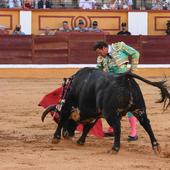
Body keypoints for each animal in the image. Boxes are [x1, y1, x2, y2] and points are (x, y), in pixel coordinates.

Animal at [41, 67, 170, 153]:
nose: (67, 135)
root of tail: (124, 78)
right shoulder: (94, 114)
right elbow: (88, 128)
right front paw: (80, 141)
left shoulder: (69, 106)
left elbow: (63, 118)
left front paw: (55, 138)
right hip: (139, 109)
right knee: (146, 124)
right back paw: (156, 146)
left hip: (110, 114)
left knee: (117, 127)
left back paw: (115, 148)